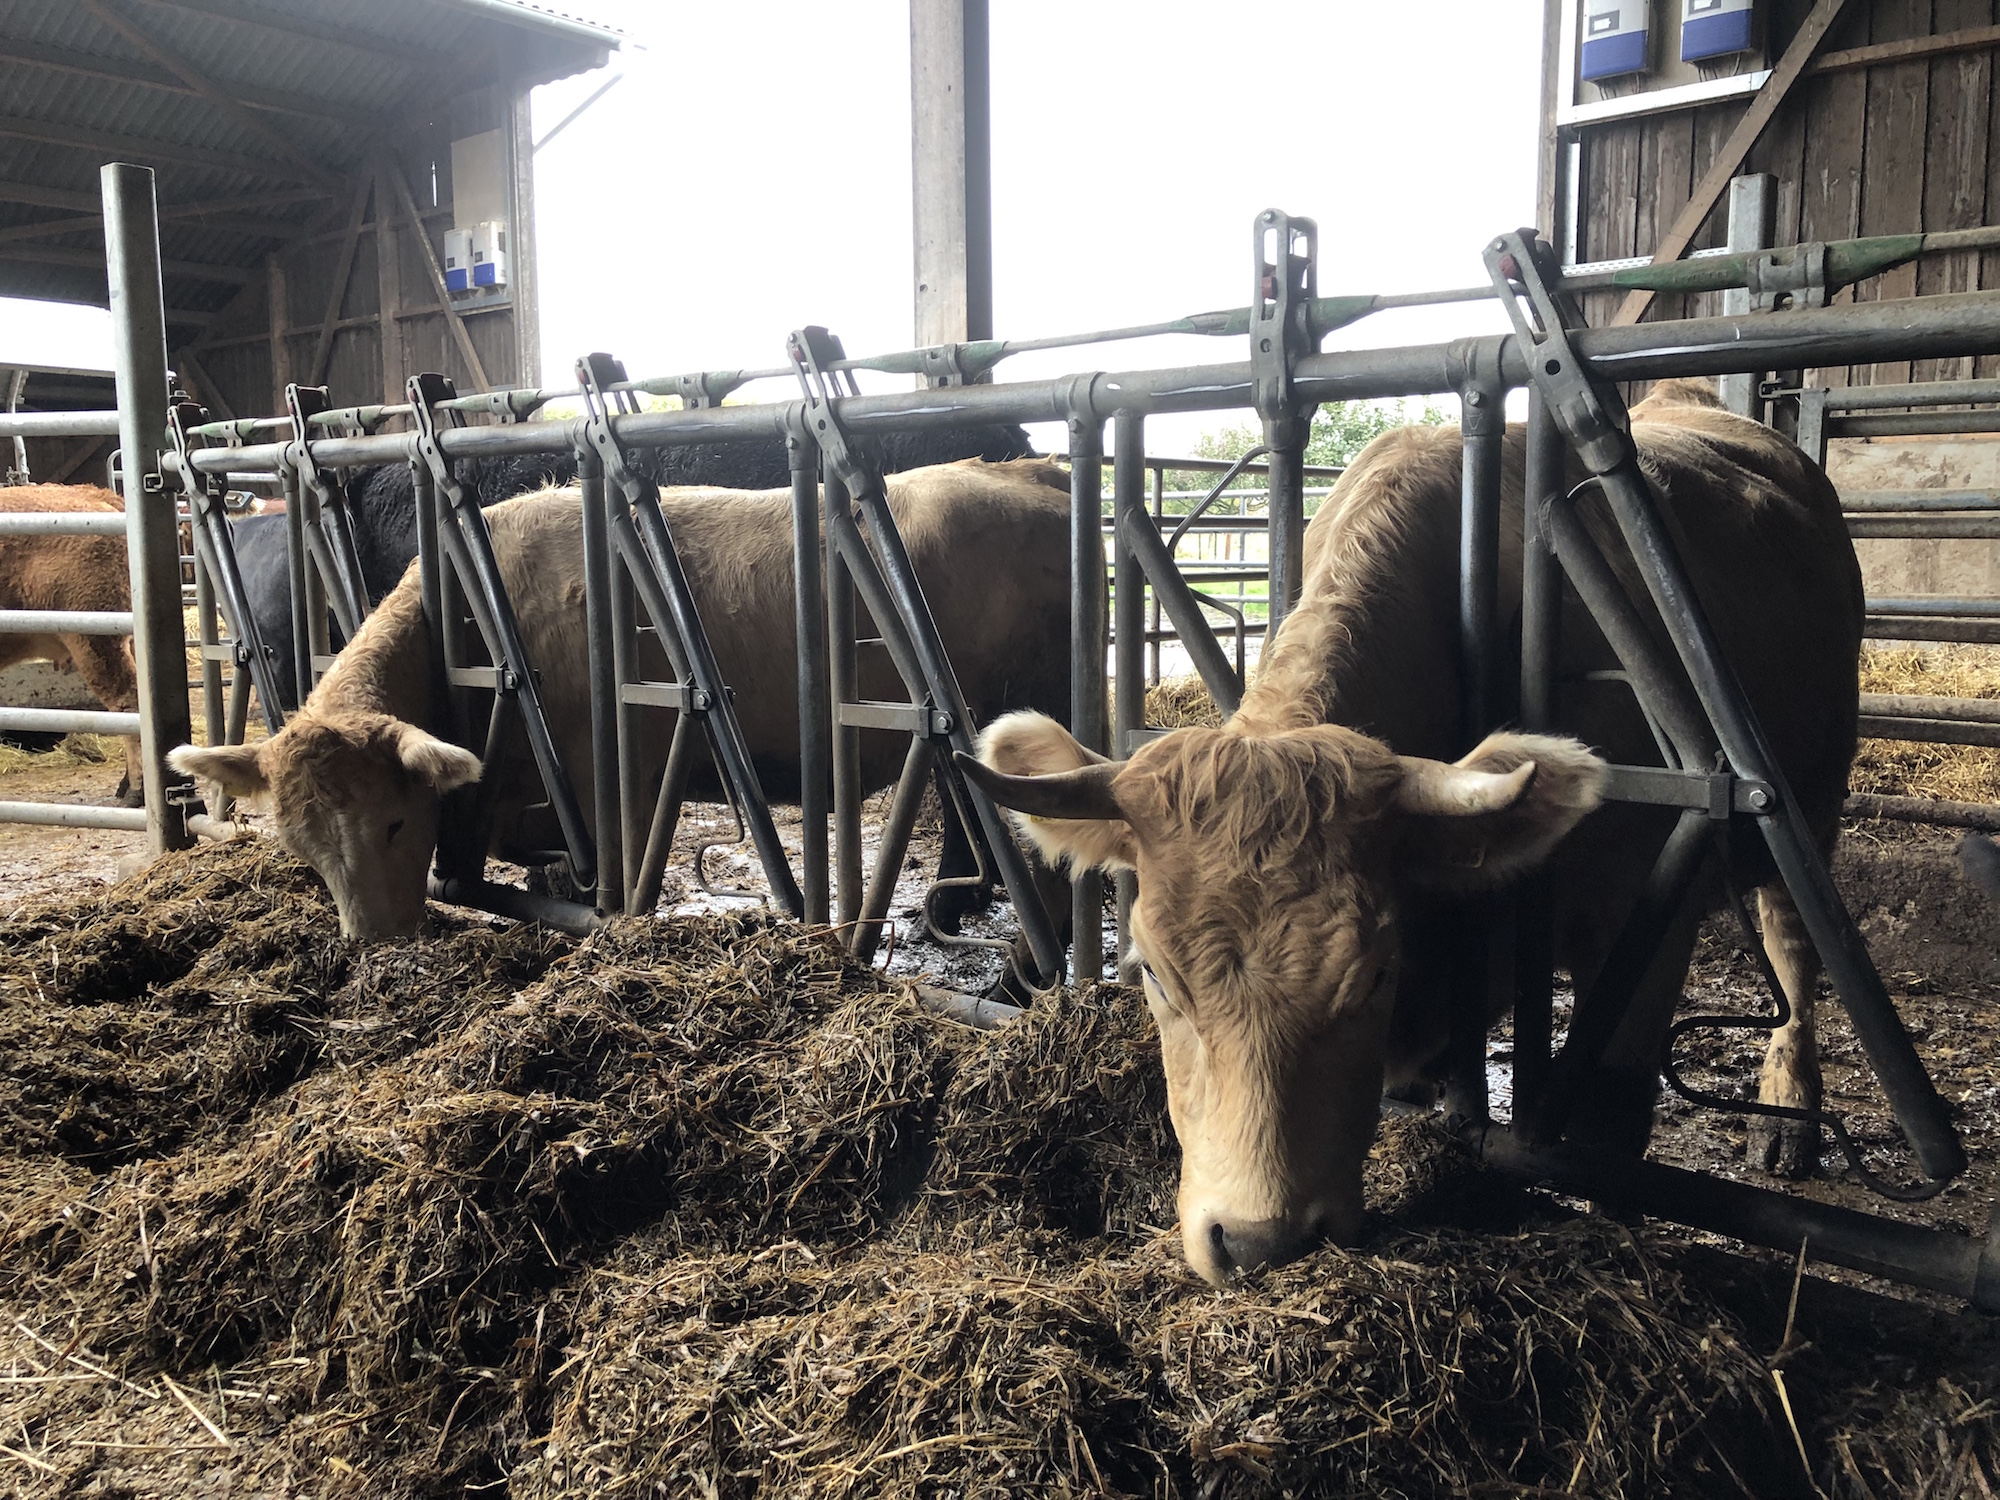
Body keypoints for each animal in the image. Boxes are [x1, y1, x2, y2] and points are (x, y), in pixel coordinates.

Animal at [176, 464, 1080, 988]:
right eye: (300, 846)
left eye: (396, 821)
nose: (374, 944)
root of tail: (1034, 478)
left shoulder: (618, 781)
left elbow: (602, 873)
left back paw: (1017, 980)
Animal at [960, 382, 1864, 1288]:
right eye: (1149, 972)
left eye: (1373, 973)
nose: (1257, 1241)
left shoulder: (1639, 927)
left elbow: (1611, 1131)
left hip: (1808, 798)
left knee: (1794, 937)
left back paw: (1788, 1112)